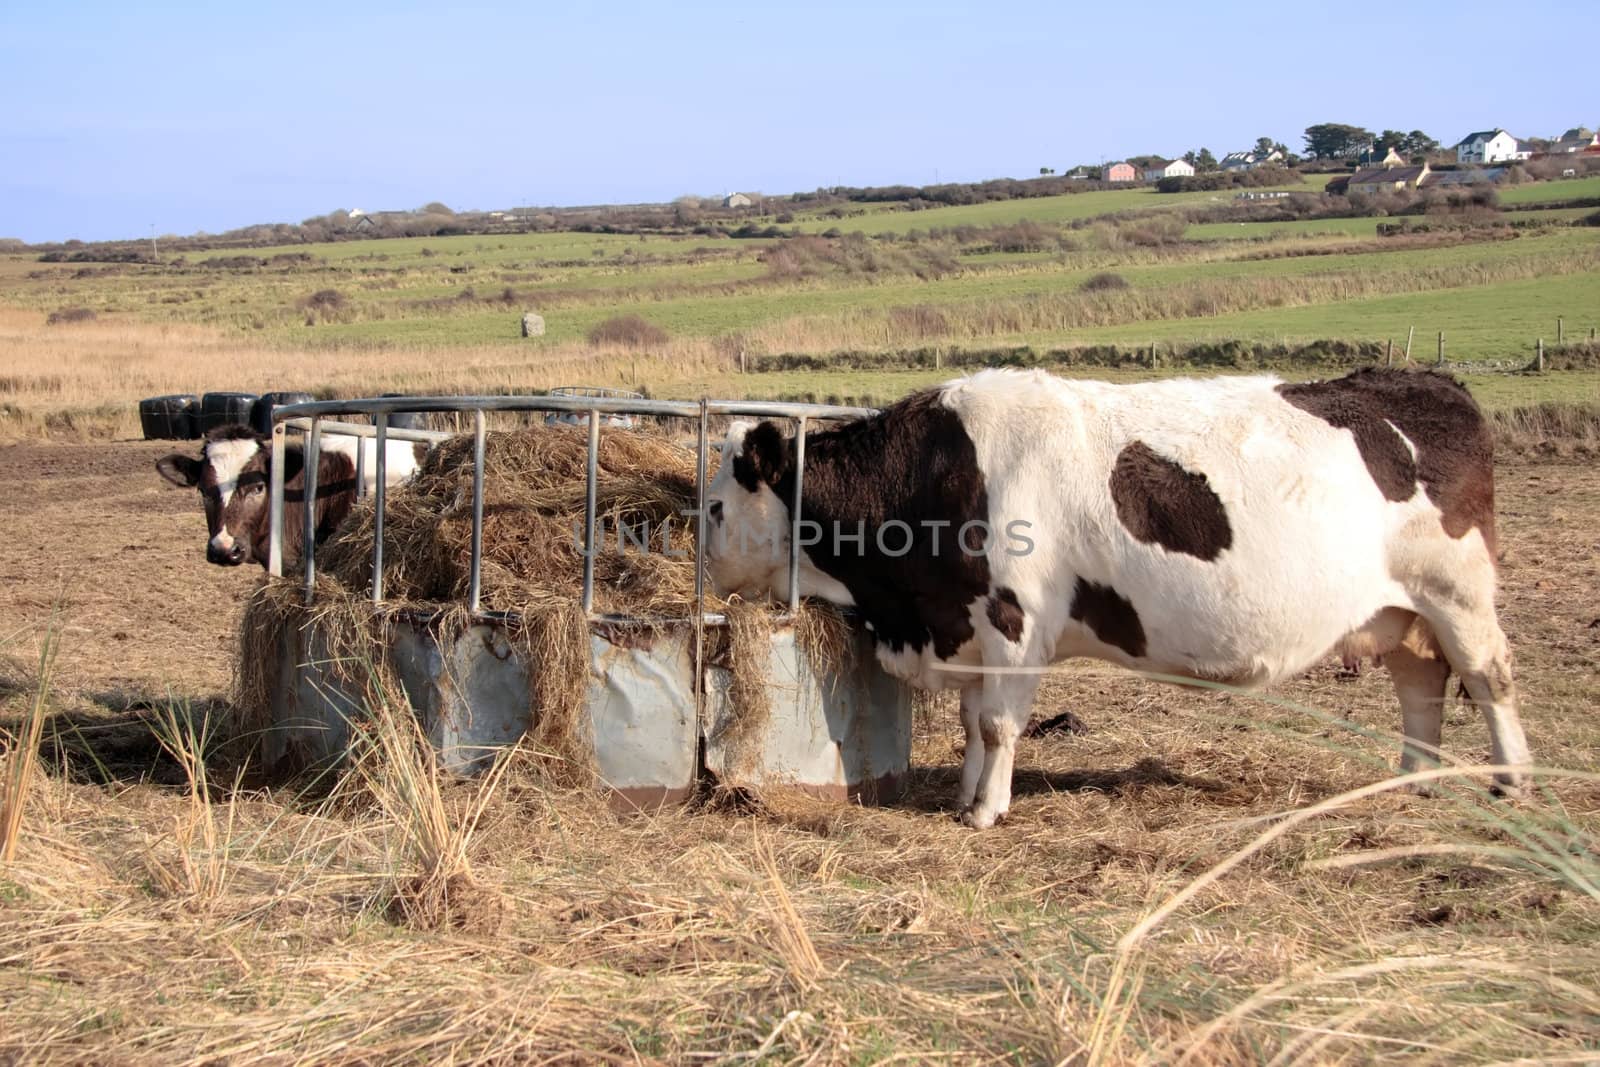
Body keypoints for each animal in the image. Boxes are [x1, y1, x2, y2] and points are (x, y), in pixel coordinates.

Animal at [707, 371, 1529, 831]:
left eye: (715, 507)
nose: (704, 569)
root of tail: (1429, 382)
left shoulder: (1014, 624)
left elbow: (1001, 725)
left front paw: (987, 810)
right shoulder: (967, 628)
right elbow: (975, 724)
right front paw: (967, 793)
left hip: (1458, 593)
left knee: (1489, 678)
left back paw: (1511, 780)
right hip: (1403, 611)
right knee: (1420, 684)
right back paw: (1413, 780)